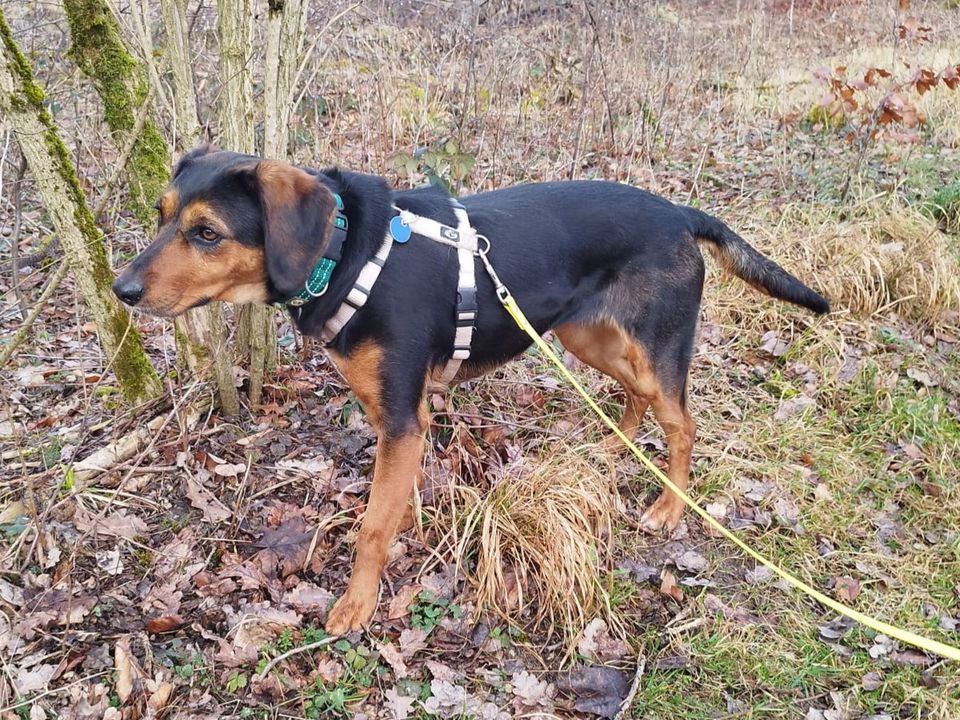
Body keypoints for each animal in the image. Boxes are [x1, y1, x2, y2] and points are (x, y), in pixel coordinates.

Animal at [112, 146, 828, 632]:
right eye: (162, 217)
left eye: (207, 233)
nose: (122, 290)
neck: (341, 253)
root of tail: (677, 212)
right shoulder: (394, 414)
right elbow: (394, 504)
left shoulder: (402, 419)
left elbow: (373, 526)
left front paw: (357, 602)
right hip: (586, 336)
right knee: (634, 400)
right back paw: (606, 452)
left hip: (653, 348)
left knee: (681, 424)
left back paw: (669, 508)